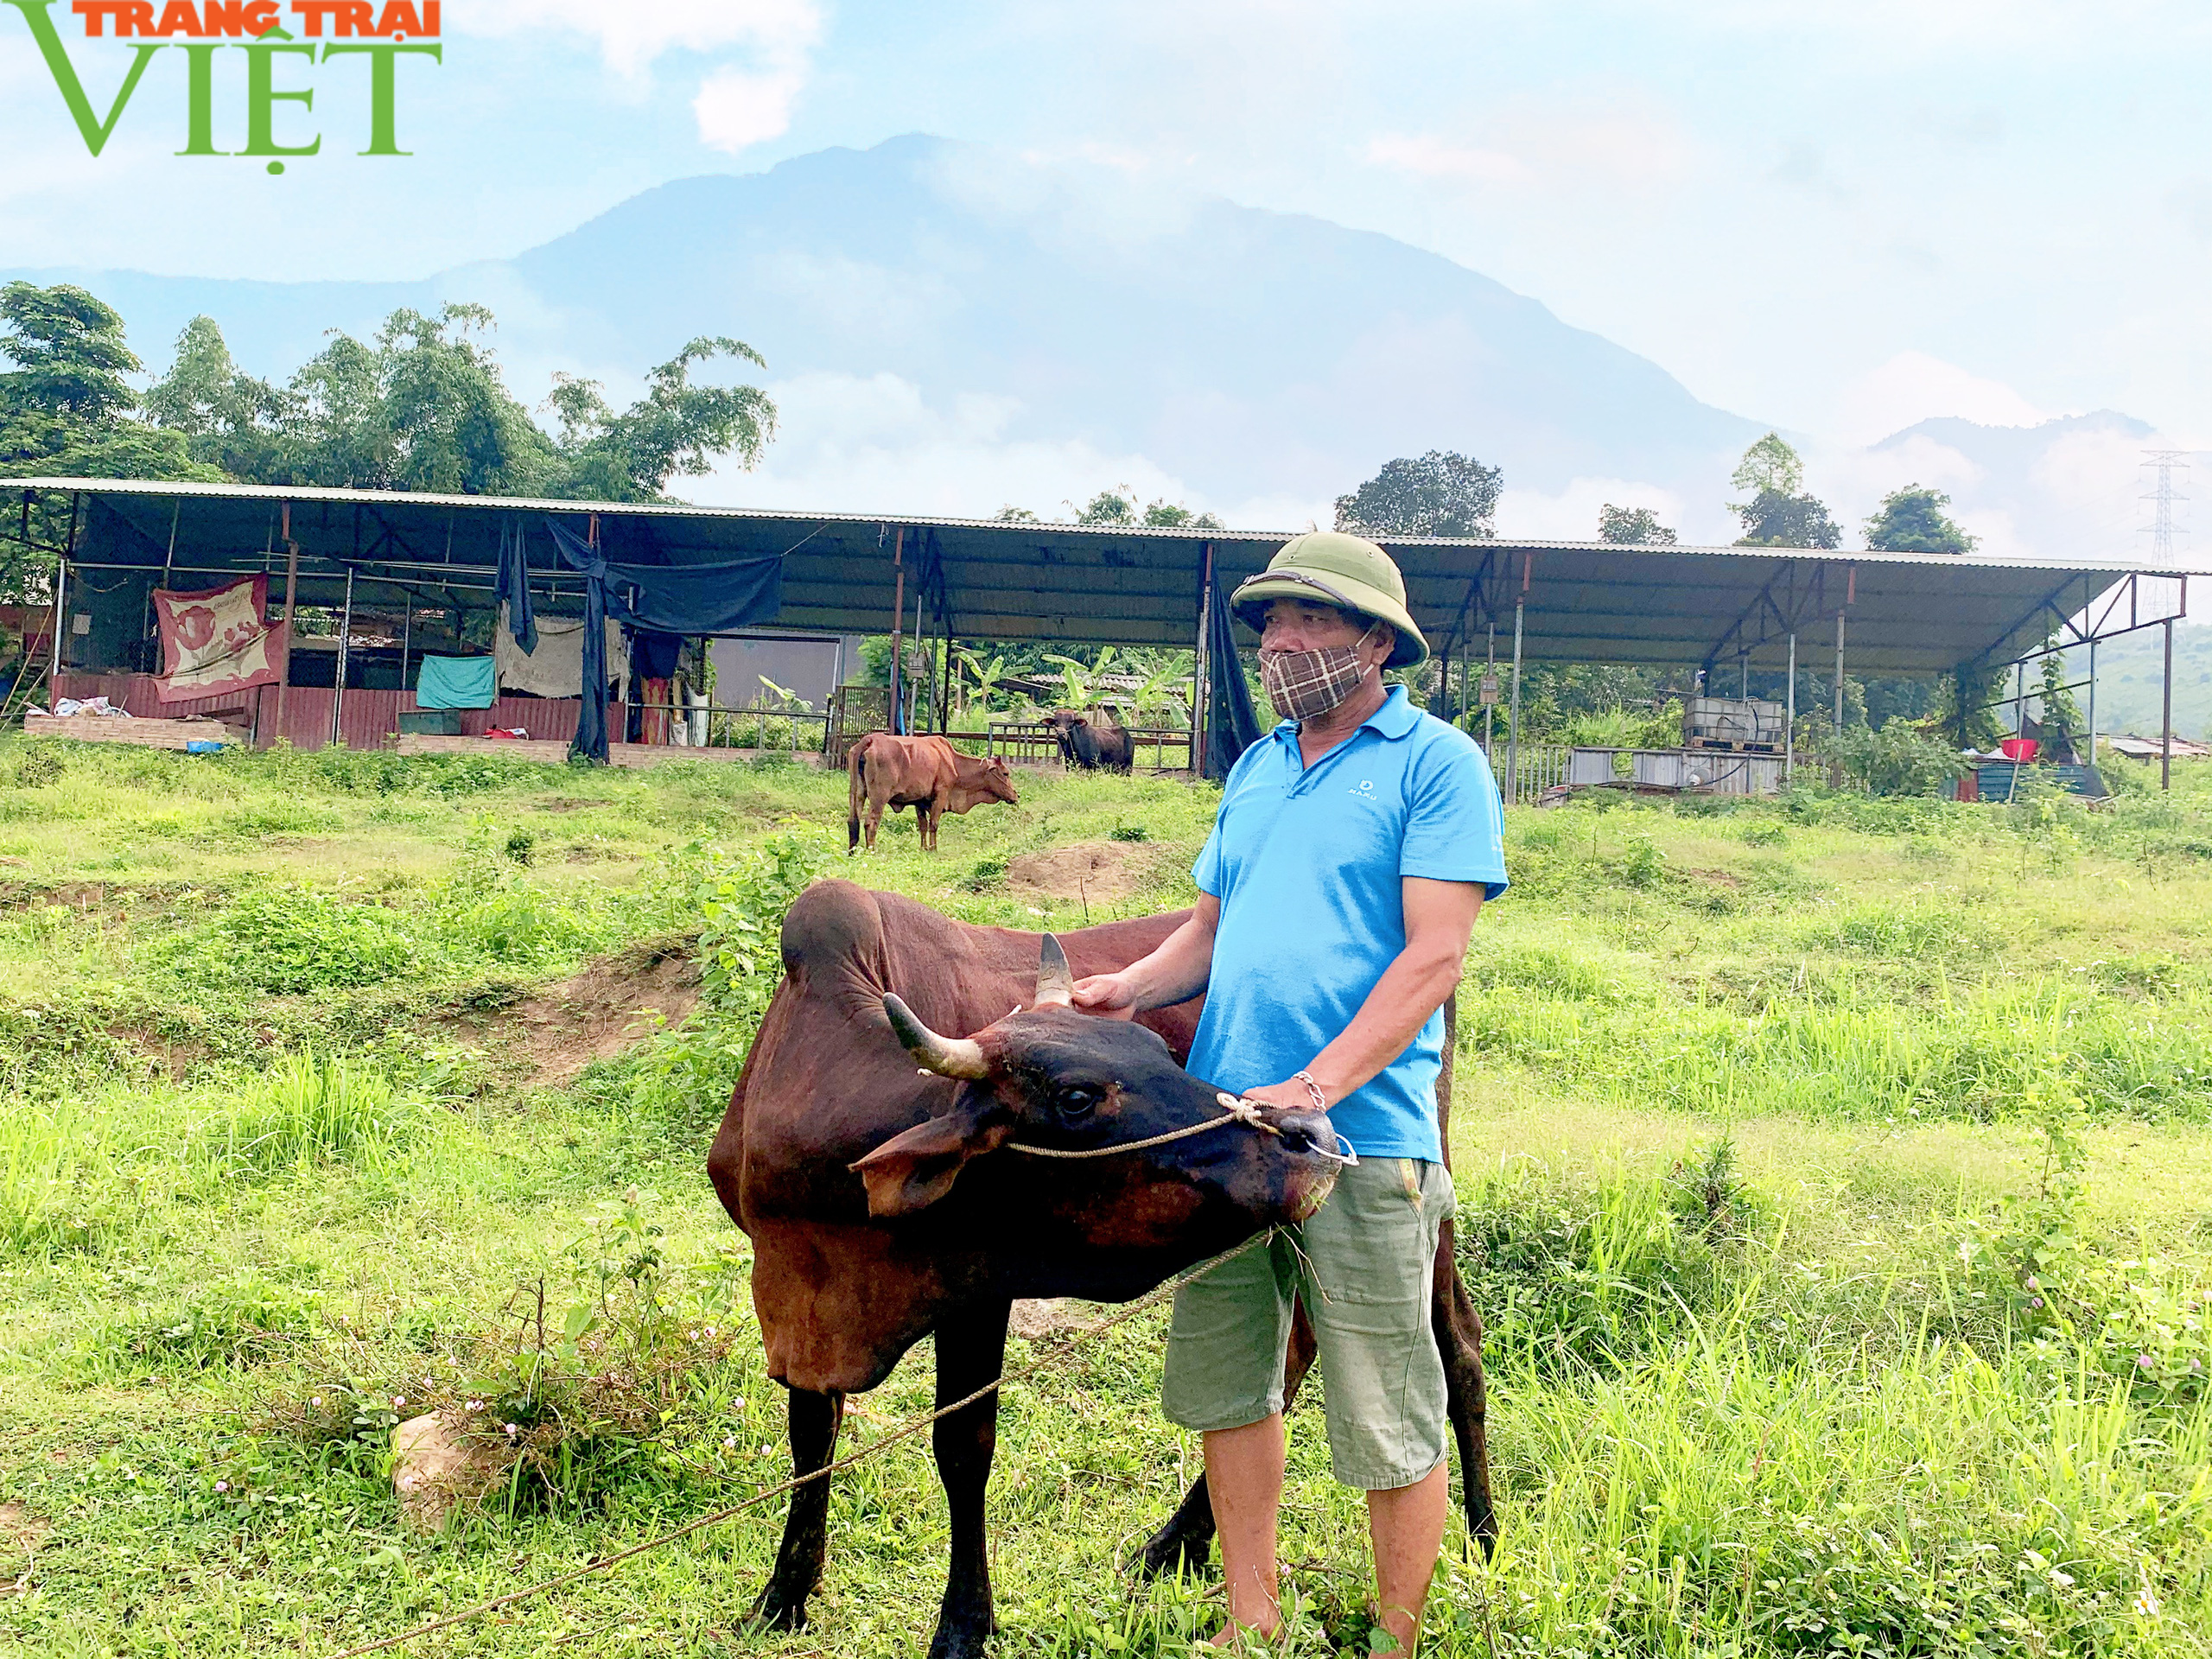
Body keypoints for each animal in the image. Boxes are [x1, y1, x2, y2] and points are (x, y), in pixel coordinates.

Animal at [708, 885, 1503, 1659]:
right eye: (1077, 1096)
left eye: (1160, 1049)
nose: (1306, 1133)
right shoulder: (798, 1310)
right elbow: (812, 1439)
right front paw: (783, 1596)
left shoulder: (979, 1294)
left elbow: (962, 1449)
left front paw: (963, 1626)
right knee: (1295, 1355)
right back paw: (1178, 1544)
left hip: (1430, 1194)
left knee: (1457, 1343)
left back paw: (1482, 1539)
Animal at [844, 729, 1017, 849]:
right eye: (1005, 773)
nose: (1016, 795)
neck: (953, 762)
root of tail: (870, 739)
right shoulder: (941, 795)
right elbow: (933, 824)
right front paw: (933, 849)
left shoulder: (919, 801)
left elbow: (923, 825)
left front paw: (924, 848)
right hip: (879, 797)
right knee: (871, 823)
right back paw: (871, 850)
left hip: (856, 792)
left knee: (853, 820)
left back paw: (852, 851)